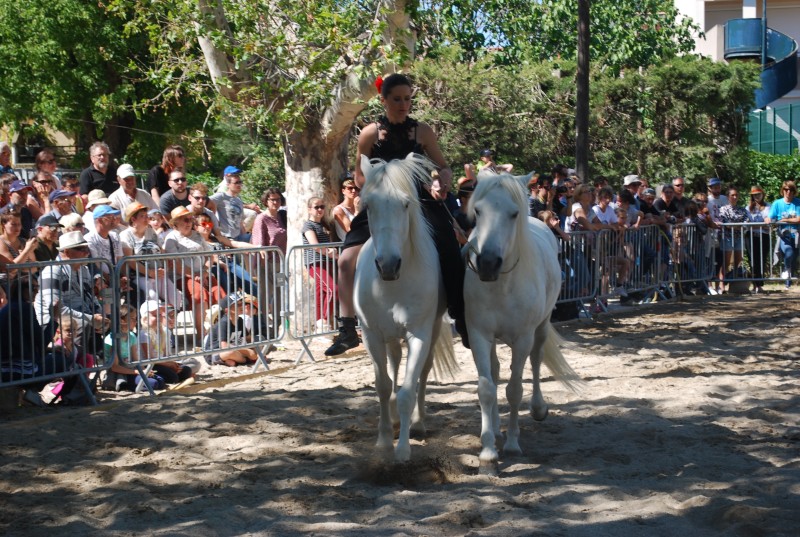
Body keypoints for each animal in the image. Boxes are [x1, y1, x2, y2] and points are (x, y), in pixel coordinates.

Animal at [354, 154, 460, 460]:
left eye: (405, 204)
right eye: (368, 206)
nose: (388, 265)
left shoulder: (418, 335)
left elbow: (407, 391)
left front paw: (401, 450)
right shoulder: (372, 334)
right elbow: (382, 385)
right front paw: (384, 440)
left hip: (432, 330)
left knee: (422, 373)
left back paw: (418, 423)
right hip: (390, 336)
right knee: (395, 363)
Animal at [462, 169, 580, 474]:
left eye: (514, 213)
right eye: (477, 211)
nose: (487, 263)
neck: (502, 285)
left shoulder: (522, 337)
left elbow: (514, 389)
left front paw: (513, 445)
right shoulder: (479, 334)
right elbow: (487, 389)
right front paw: (488, 453)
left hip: (540, 328)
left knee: (536, 361)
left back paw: (538, 408)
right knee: (495, 371)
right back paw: (496, 428)